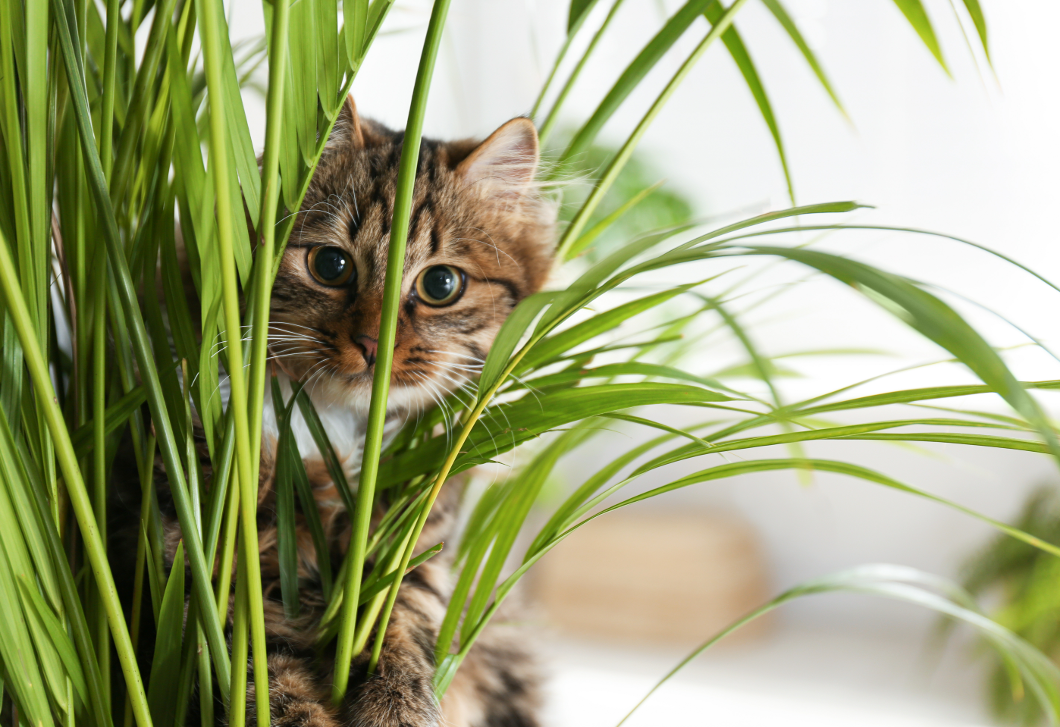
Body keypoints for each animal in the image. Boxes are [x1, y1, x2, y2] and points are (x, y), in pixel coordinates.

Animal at [120, 98, 559, 727]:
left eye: (441, 283)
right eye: (331, 265)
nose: (374, 345)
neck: (334, 428)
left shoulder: (411, 555)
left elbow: (399, 629)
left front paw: (398, 710)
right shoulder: (204, 565)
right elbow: (267, 683)